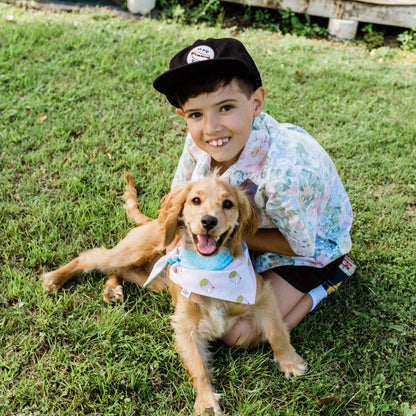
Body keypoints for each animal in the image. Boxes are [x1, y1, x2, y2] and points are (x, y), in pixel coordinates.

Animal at [43, 172, 306, 416]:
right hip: (133, 251)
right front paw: (206, 402)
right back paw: (54, 278)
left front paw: (290, 362)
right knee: (93, 257)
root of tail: (153, 221)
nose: (208, 221)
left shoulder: (263, 295)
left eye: (228, 203)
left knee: (116, 270)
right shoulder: (184, 324)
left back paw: (112, 288)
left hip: (150, 279)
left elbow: (276, 331)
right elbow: (198, 366)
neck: (210, 272)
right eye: (196, 200)